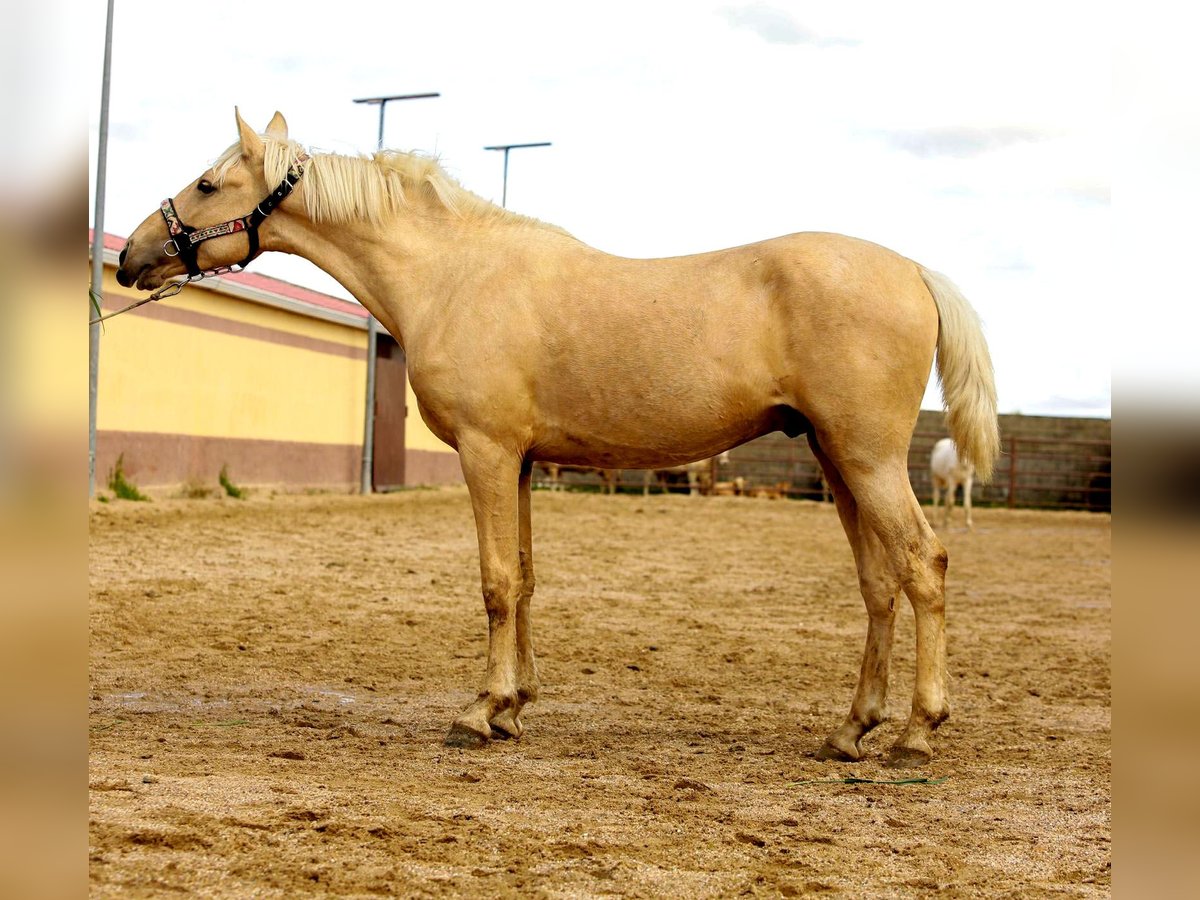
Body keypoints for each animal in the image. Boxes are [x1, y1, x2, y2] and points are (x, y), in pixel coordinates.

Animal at [117, 109, 998, 763]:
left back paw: (917, 733)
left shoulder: (487, 453)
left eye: (207, 182)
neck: (453, 275)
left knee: (923, 565)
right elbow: (528, 578)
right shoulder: (524, 463)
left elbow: (495, 581)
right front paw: (514, 706)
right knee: (879, 585)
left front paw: (481, 712)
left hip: (867, 458)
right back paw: (851, 729)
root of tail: (913, 271)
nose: (131, 257)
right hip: (836, 459)